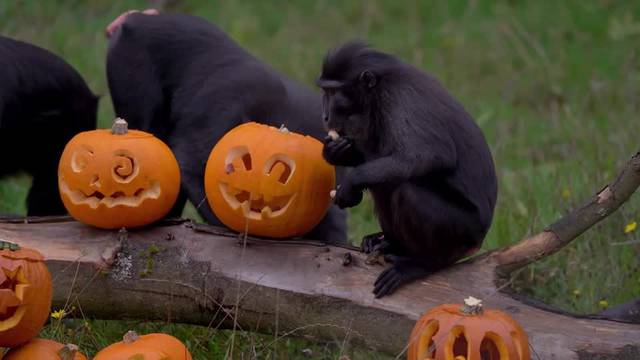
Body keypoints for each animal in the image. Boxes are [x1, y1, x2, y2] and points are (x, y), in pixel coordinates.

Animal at [318, 42, 498, 296]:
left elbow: (429, 155)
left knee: (408, 190)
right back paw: (391, 243)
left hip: (463, 232)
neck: (379, 88)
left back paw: (423, 263)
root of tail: (479, 238)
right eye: (325, 90)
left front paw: (351, 183)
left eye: (333, 93)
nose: (325, 115)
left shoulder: (400, 98)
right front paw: (338, 152)